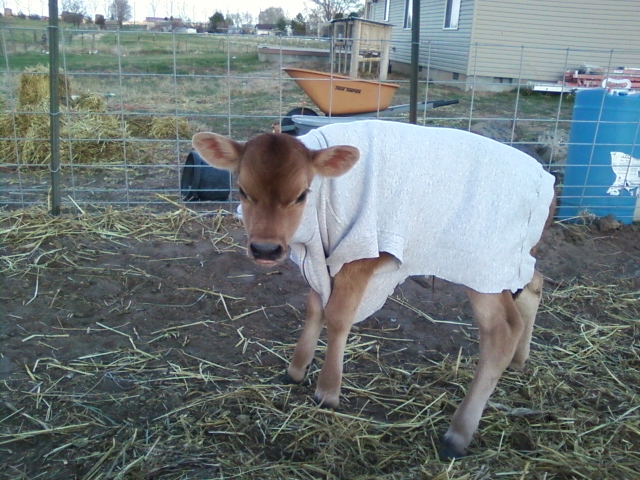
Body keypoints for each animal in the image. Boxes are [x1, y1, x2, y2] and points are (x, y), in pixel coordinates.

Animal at [192, 120, 556, 460]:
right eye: (242, 190)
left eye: (301, 194)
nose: (265, 249)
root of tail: (544, 178)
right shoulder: (322, 258)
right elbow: (314, 307)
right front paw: (295, 370)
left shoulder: (360, 254)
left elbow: (338, 315)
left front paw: (327, 392)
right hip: (512, 265)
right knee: (534, 285)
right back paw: (519, 360)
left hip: (485, 269)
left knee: (502, 330)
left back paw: (458, 434)